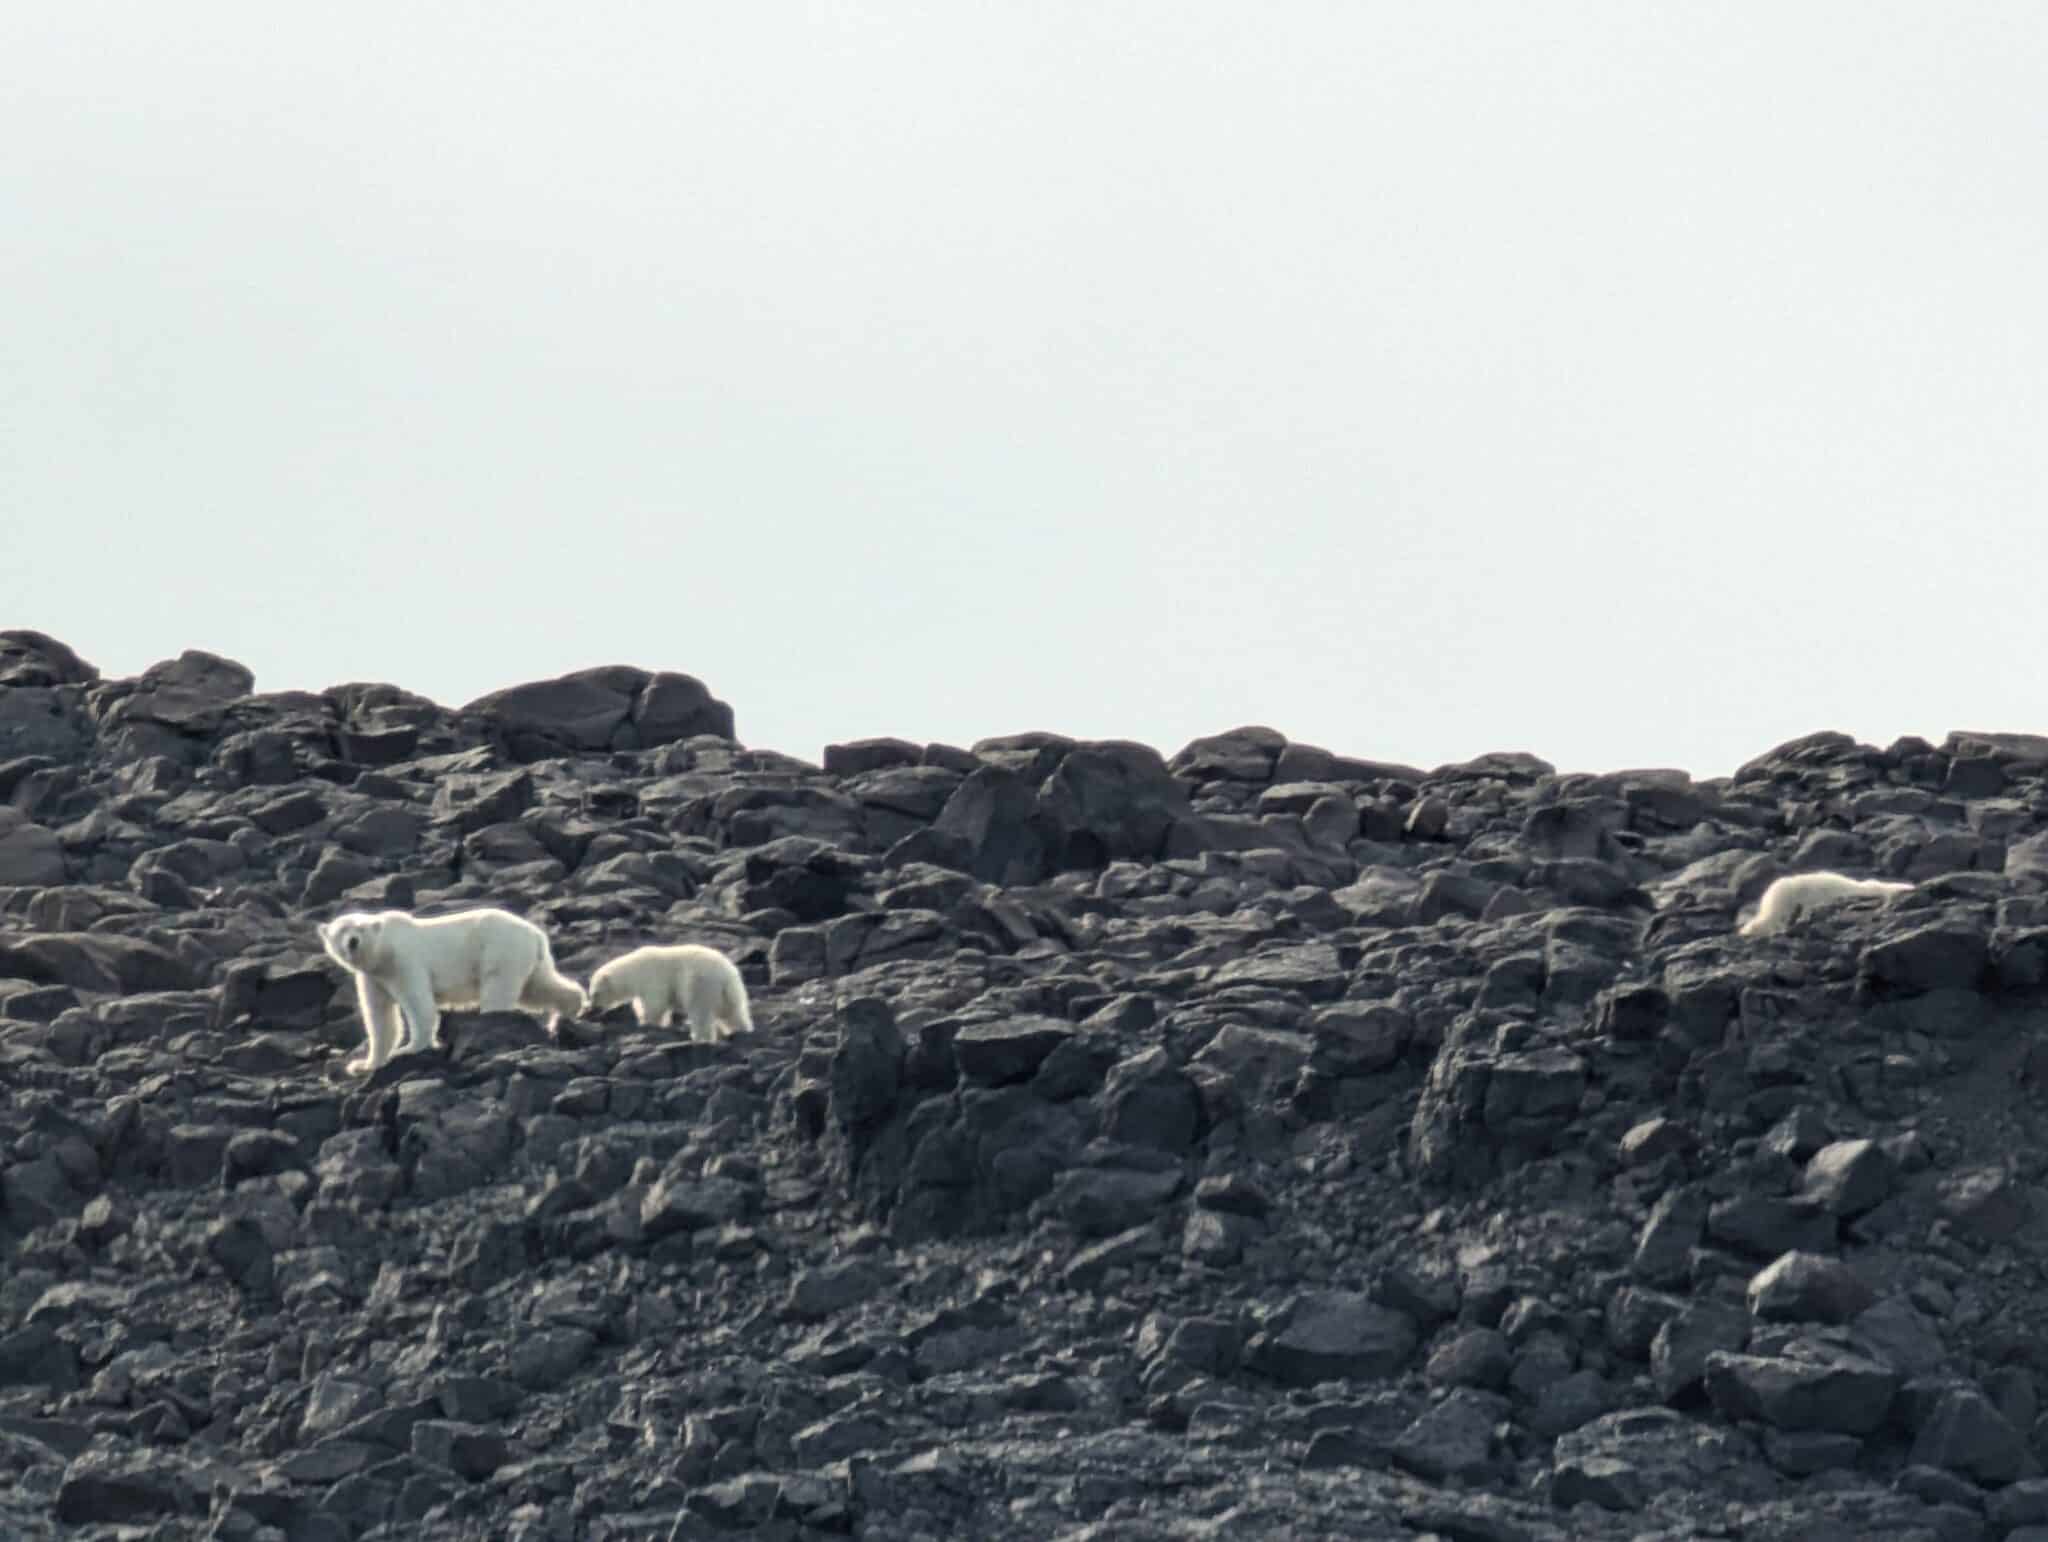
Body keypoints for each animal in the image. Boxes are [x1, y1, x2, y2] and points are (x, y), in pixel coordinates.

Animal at [315, 901, 585, 1073]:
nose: (352, 941)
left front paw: (409, 1049)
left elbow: (418, 1003)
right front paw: (363, 1065)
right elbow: (380, 1017)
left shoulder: (404, 961)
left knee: (499, 991)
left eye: (360, 928)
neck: (382, 954)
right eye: (342, 930)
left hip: (500, 951)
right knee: (538, 988)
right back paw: (569, 1011)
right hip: (528, 960)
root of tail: (536, 934)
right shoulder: (374, 977)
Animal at [585, 946, 753, 1040]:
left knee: (701, 1012)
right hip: (729, 994)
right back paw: (742, 1030)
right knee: (733, 1013)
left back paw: (699, 1037)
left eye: (595, 994)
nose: (592, 1007)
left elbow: (655, 1003)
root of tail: (726, 975)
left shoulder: (652, 978)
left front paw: (648, 1022)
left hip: (699, 984)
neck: (633, 969)